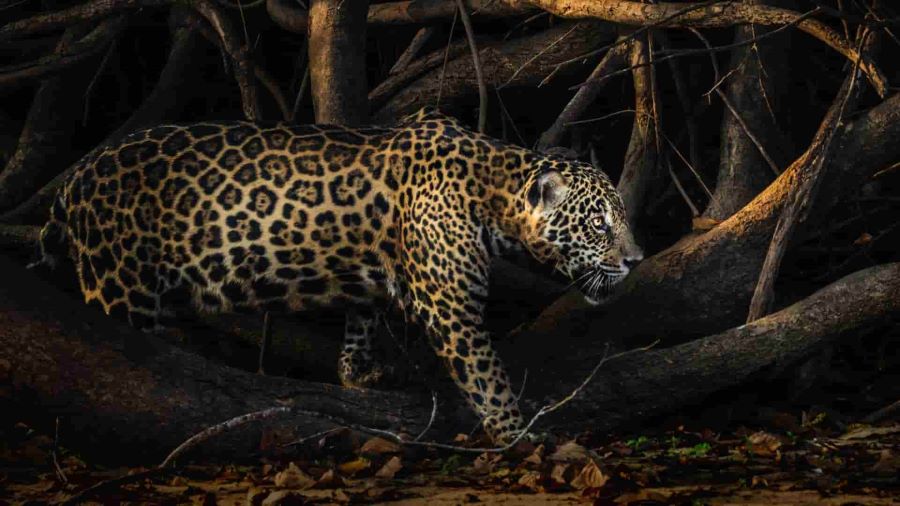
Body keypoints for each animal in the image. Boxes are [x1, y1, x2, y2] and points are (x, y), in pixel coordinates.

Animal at [33, 107, 643, 444]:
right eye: (598, 223)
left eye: (622, 218)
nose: (636, 259)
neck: (493, 191)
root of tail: (73, 178)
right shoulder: (452, 309)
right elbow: (487, 379)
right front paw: (517, 435)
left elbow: (362, 315)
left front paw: (357, 373)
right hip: (119, 284)